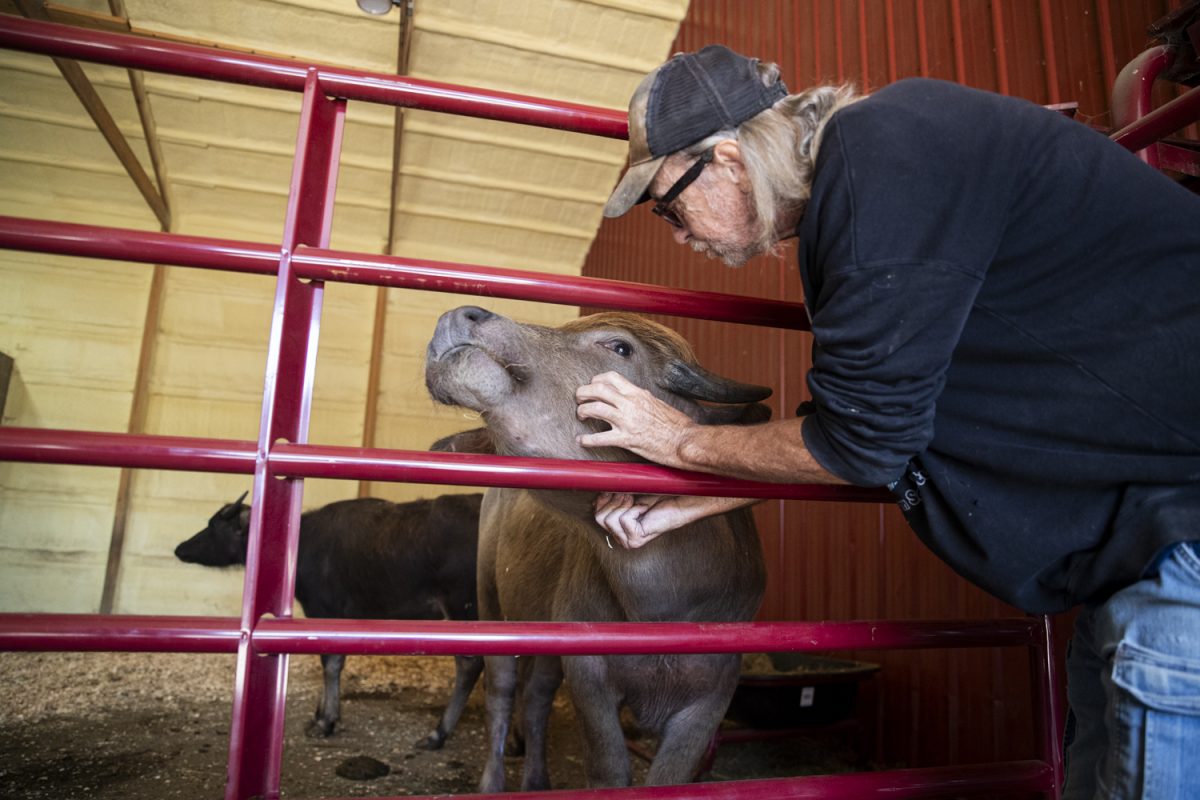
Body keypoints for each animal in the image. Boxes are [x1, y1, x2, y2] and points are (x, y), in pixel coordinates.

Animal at [174, 491, 482, 748]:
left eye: (214, 526)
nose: (180, 548)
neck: (301, 545)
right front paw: (321, 714)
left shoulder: (324, 610)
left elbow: (330, 662)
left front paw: (326, 721)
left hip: (463, 610)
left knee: (469, 665)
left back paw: (438, 733)